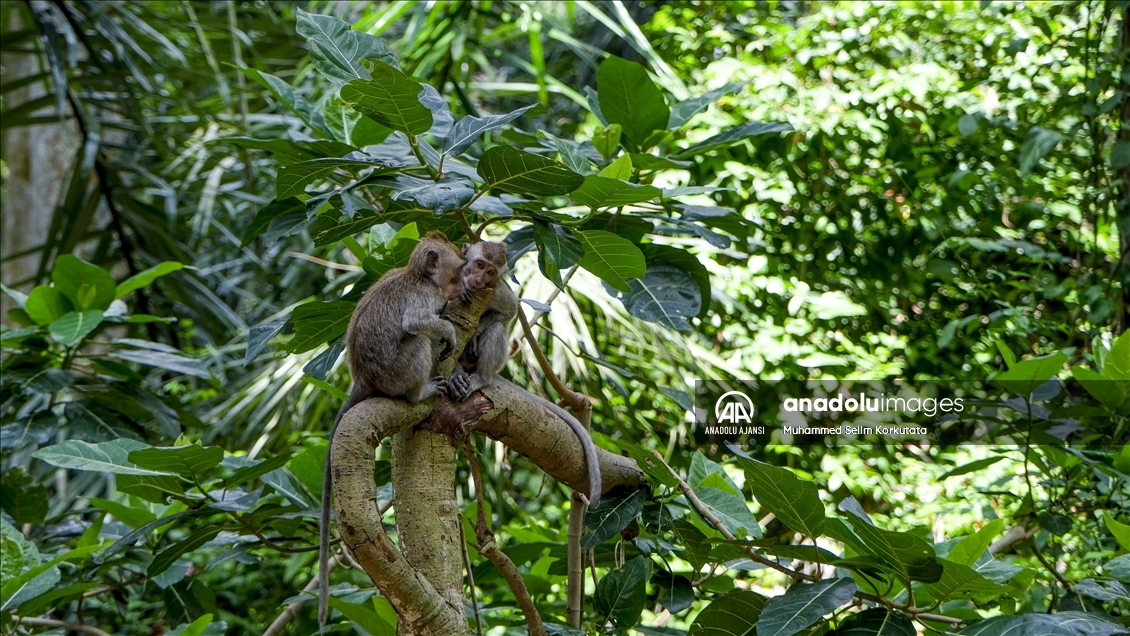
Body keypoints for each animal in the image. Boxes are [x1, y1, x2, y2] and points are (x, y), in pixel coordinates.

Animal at [318, 230, 463, 628]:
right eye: (458, 270)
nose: (460, 288)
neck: (419, 276)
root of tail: (364, 379)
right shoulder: (424, 296)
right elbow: (417, 322)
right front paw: (447, 328)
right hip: (397, 372)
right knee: (417, 341)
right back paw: (420, 391)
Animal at [440, 241, 605, 510]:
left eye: (490, 272)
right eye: (479, 264)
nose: (478, 279)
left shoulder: (496, 290)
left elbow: (509, 310)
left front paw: (478, 332)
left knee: (496, 329)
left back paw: (481, 378)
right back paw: (455, 375)